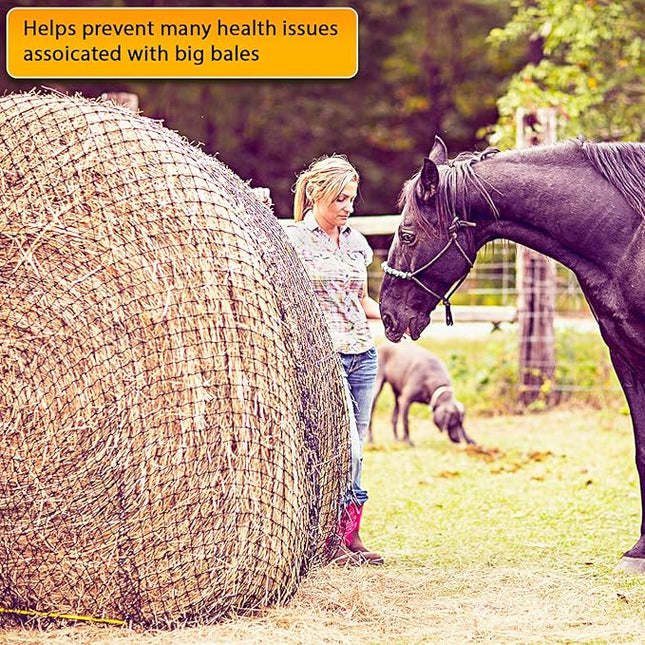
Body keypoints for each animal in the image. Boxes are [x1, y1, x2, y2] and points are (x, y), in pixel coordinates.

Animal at [379, 135, 645, 572]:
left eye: (407, 235)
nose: (386, 314)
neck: (630, 240)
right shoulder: (625, 355)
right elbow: (642, 452)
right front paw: (640, 550)